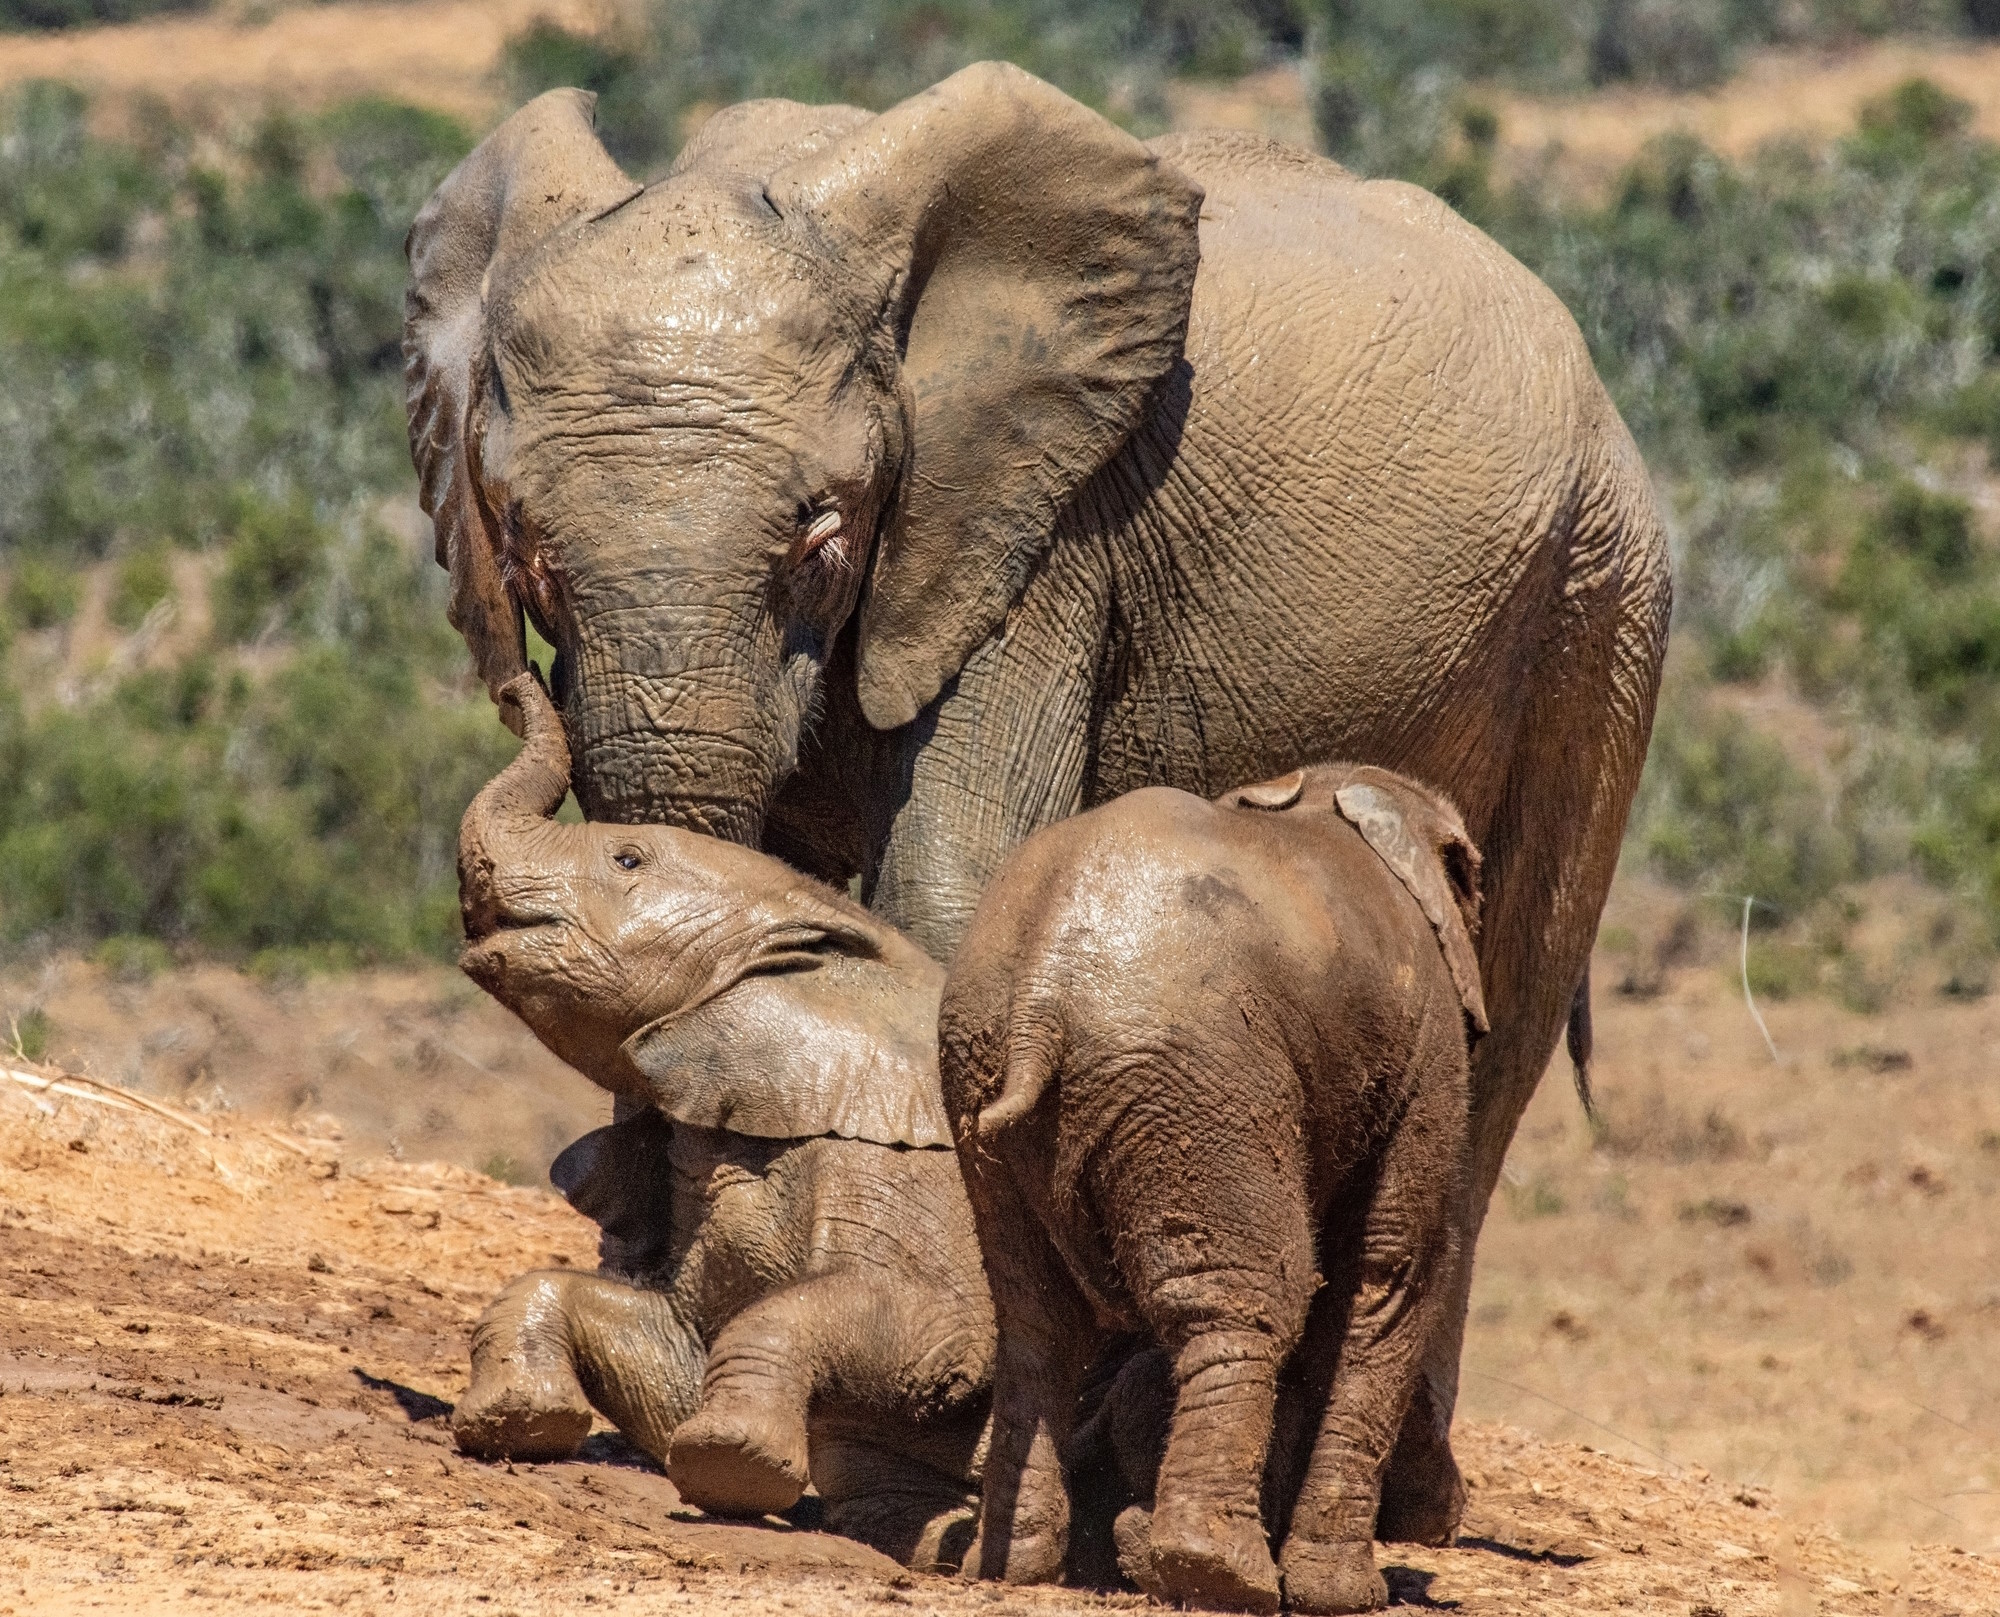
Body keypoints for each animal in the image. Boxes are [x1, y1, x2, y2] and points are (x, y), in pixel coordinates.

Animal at [451, 674, 993, 1568]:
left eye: (627, 858)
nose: (511, 682)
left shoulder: (896, 1178)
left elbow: (942, 1335)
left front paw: (730, 1464)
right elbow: (665, 1345)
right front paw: (514, 1423)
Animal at [937, 765, 1483, 1613]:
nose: (1451, 1522)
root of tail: (1040, 993)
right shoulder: (1428, 1050)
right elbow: (1390, 1271)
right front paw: (1346, 1596)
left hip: (980, 1069)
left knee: (1034, 1320)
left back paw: (1012, 1567)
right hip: (1198, 1074)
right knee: (1251, 1298)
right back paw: (1217, 1572)